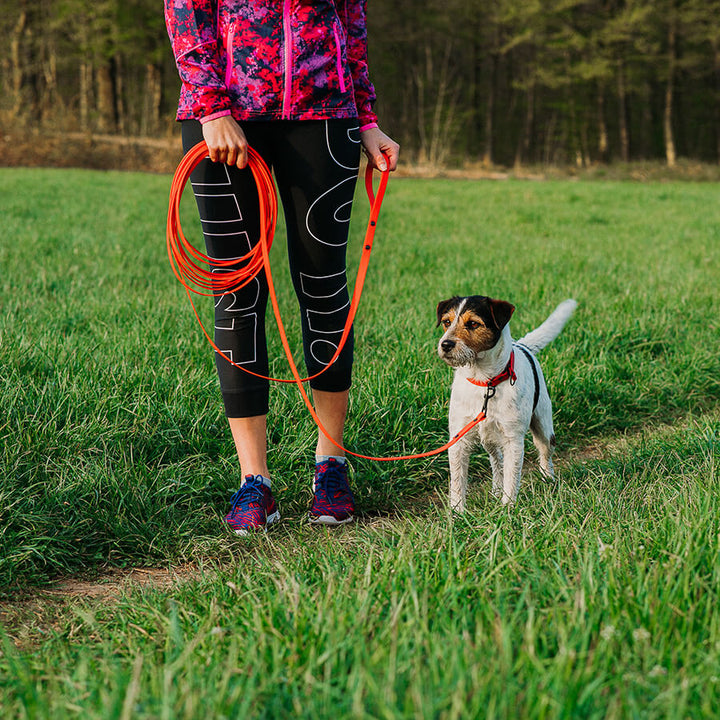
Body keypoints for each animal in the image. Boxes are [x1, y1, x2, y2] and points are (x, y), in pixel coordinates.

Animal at [436, 296, 576, 510]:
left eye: (473, 323)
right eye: (446, 322)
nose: (445, 344)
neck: (485, 382)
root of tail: (522, 345)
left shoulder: (513, 439)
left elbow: (512, 476)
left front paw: (507, 509)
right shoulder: (459, 437)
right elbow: (458, 481)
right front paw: (457, 512)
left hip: (543, 426)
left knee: (545, 453)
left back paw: (548, 480)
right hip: (489, 438)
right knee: (497, 461)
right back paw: (496, 490)